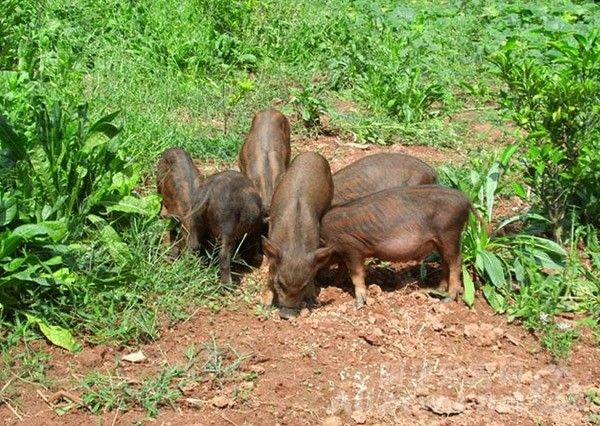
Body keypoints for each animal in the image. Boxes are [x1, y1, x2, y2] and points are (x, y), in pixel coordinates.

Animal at [262, 152, 338, 316]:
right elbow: (271, 269)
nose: (287, 315)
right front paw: (264, 303)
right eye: (280, 283)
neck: (295, 248)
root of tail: (312, 154)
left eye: (303, 285)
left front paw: (314, 301)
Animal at [322, 185, 476, 308]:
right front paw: (333, 283)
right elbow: (342, 270)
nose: (321, 282)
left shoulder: (350, 248)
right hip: (440, 242)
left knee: (456, 261)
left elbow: (356, 274)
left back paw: (448, 299)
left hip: (450, 234)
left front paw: (358, 305)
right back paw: (438, 290)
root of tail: (465, 198)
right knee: (445, 262)